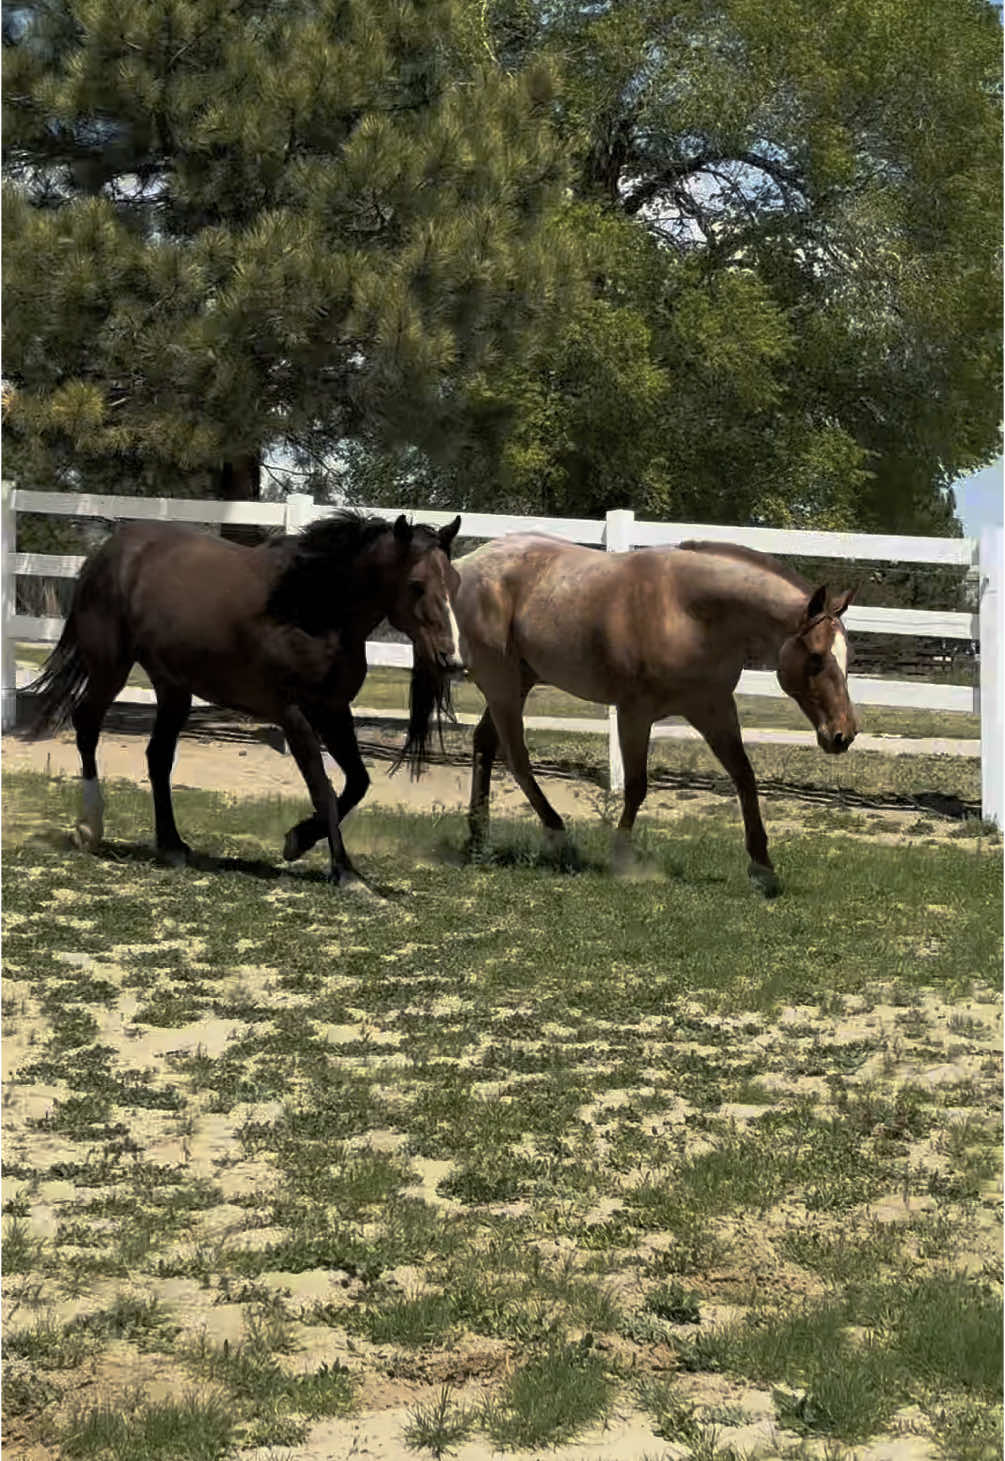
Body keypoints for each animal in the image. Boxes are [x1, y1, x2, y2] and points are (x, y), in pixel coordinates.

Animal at [28, 510, 462, 887]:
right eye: (416, 584)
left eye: (455, 581)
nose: (451, 659)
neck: (310, 607)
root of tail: (108, 551)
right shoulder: (292, 713)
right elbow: (322, 787)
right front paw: (344, 871)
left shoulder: (333, 710)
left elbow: (358, 782)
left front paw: (299, 840)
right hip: (111, 667)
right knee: (86, 725)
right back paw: (89, 828)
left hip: (173, 686)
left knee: (158, 757)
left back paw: (172, 845)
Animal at [453, 534, 858, 895]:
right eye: (816, 658)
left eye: (847, 656)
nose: (843, 734)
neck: (687, 612)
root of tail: (464, 566)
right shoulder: (634, 712)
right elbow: (636, 786)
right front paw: (622, 859)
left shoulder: (713, 708)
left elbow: (744, 777)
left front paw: (763, 869)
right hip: (503, 685)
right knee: (517, 758)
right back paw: (558, 837)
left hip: (518, 682)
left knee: (485, 744)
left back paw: (478, 839)